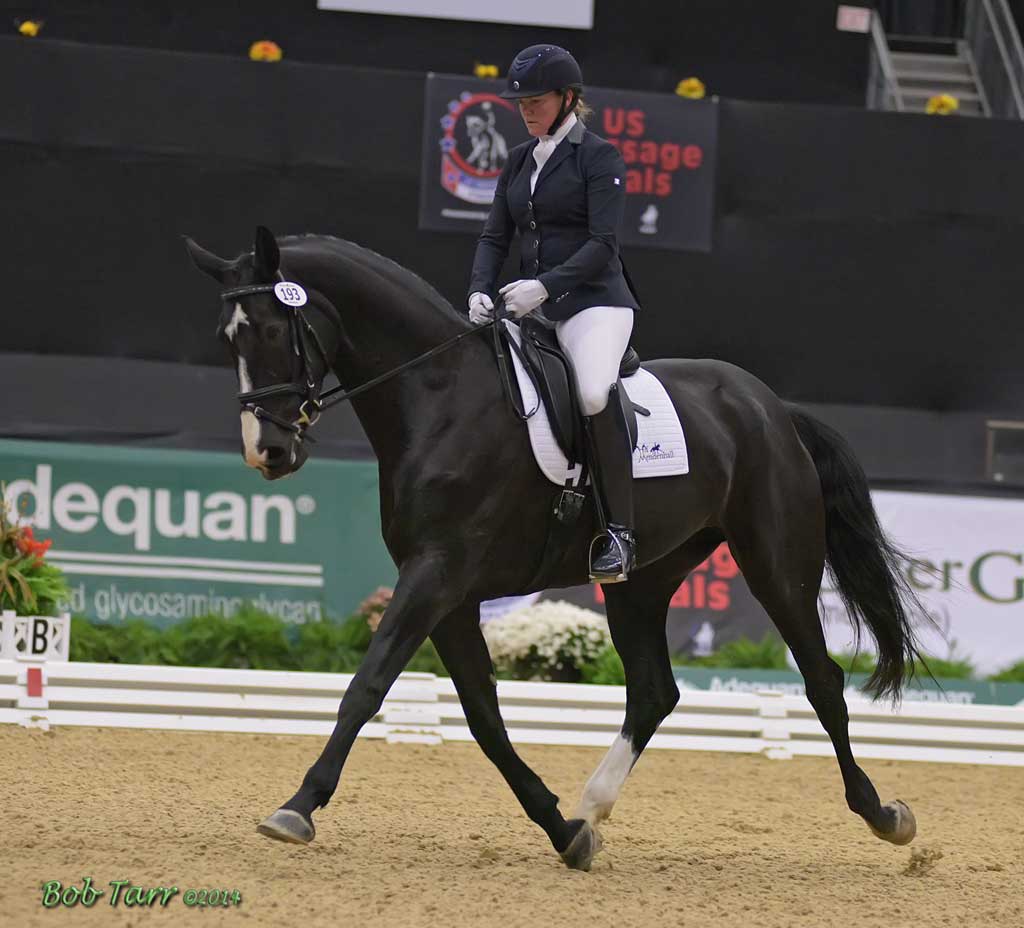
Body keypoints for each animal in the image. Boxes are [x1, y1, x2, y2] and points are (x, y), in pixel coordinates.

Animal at [185, 226, 924, 871]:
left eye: (273, 330)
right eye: (226, 338)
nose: (267, 451)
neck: (440, 396)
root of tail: (769, 407)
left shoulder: (437, 574)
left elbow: (366, 687)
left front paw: (297, 807)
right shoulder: (446, 591)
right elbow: (484, 718)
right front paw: (564, 830)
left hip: (777, 564)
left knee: (822, 680)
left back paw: (884, 815)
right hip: (642, 581)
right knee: (653, 690)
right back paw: (592, 808)